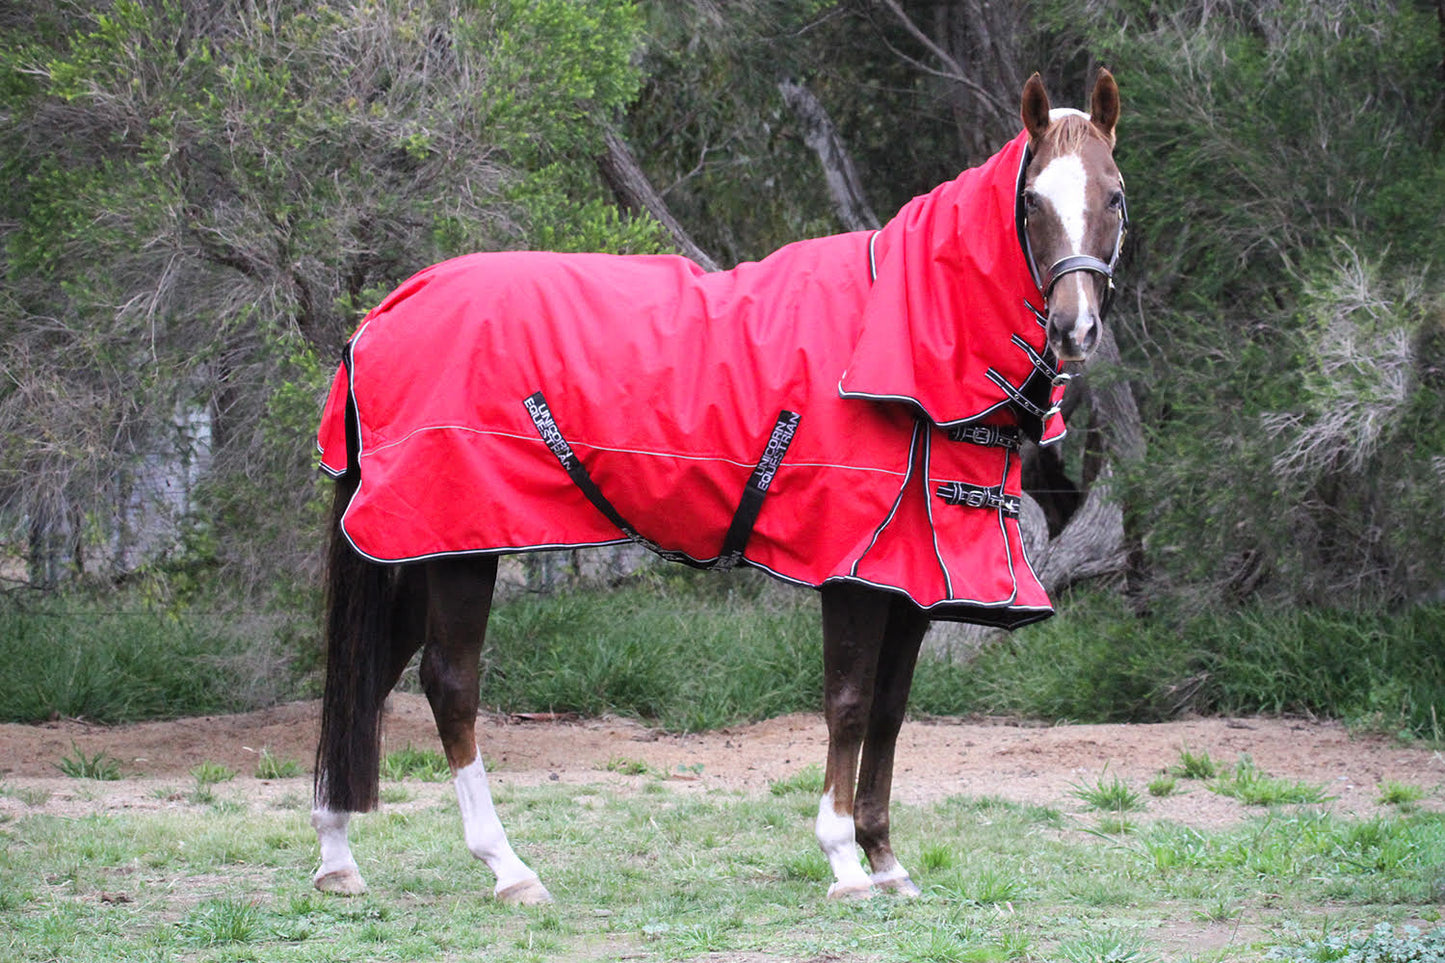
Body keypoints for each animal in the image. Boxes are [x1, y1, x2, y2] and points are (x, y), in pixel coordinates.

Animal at [310, 69, 1126, 904]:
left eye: (1114, 196)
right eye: (1032, 200)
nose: (1074, 329)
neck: (898, 344)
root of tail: (383, 312)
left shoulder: (909, 584)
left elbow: (891, 712)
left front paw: (886, 859)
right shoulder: (851, 574)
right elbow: (848, 704)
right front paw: (842, 860)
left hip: (423, 545)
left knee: (369, 671)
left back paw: (338, 855)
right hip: (462, 548)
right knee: (448, 683)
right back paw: (507, 867)